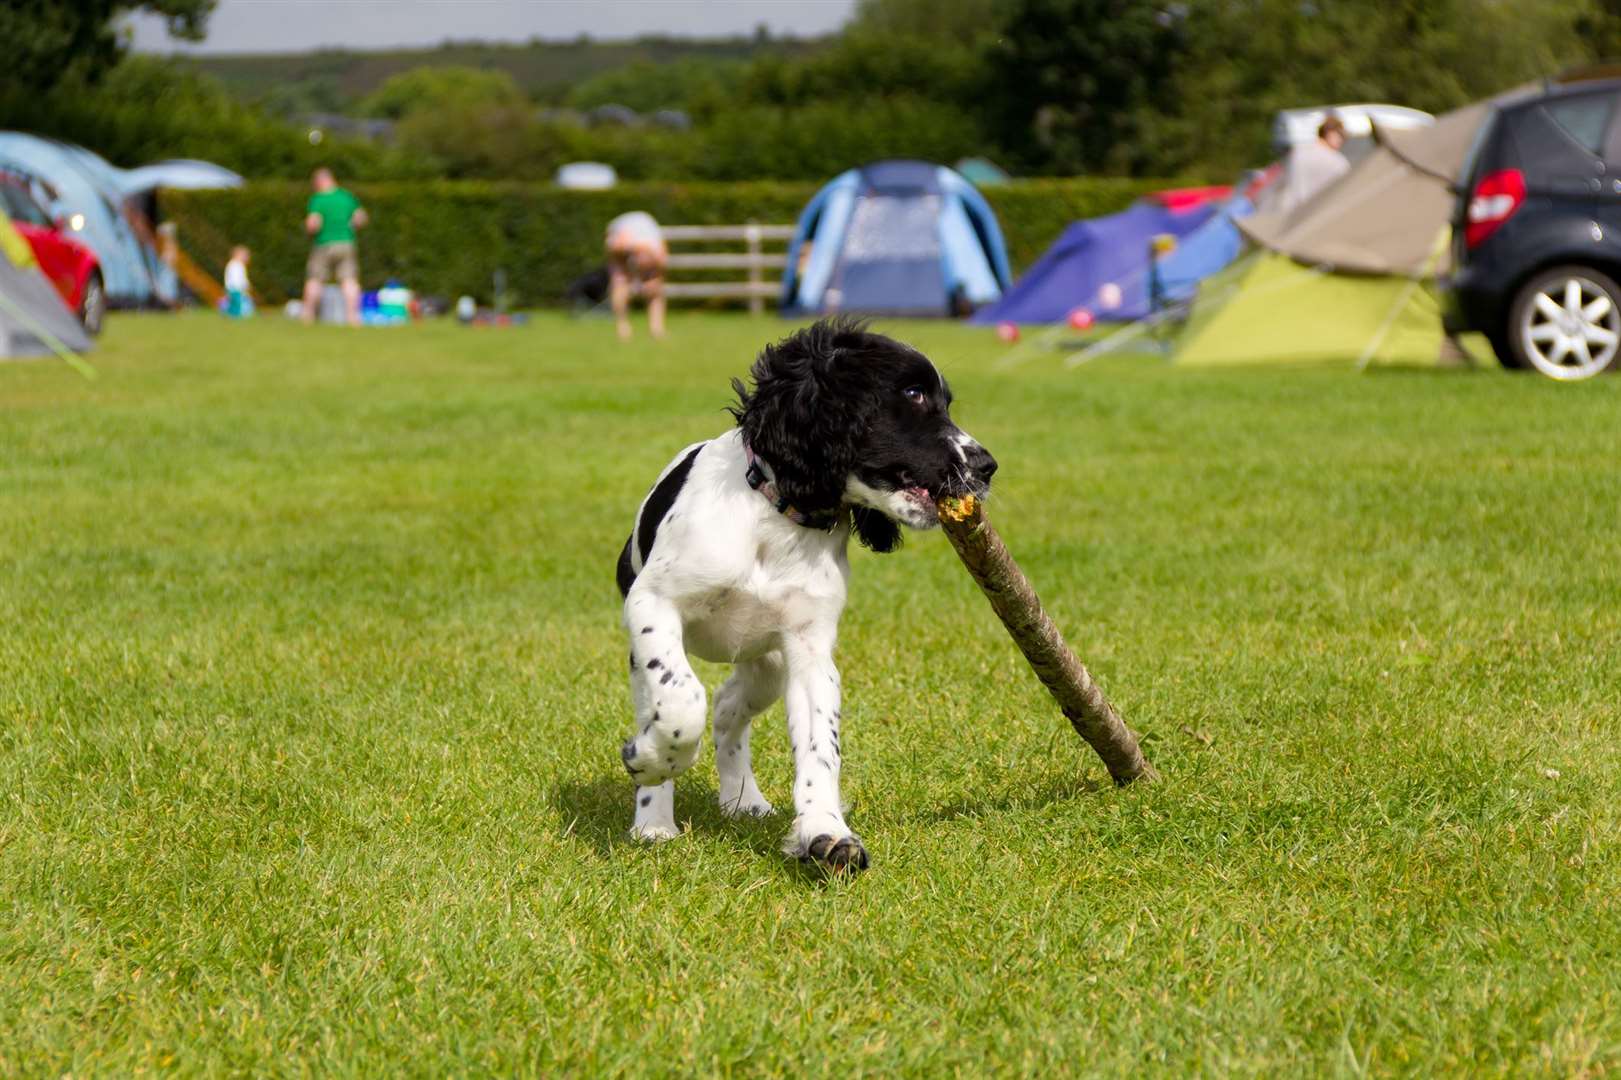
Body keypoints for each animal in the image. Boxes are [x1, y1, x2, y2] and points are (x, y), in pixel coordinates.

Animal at [612, 316, 992, 869]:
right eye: (913, 394)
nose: (986, 467)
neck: (776, 519)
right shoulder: (653, 603)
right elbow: (682, 701)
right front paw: (649, 761)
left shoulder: (809, 649)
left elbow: (820, 746)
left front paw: (825, 831)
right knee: (673, 705)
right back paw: (654, 818)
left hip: (767, 665)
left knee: (728, 710)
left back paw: (743, 800)